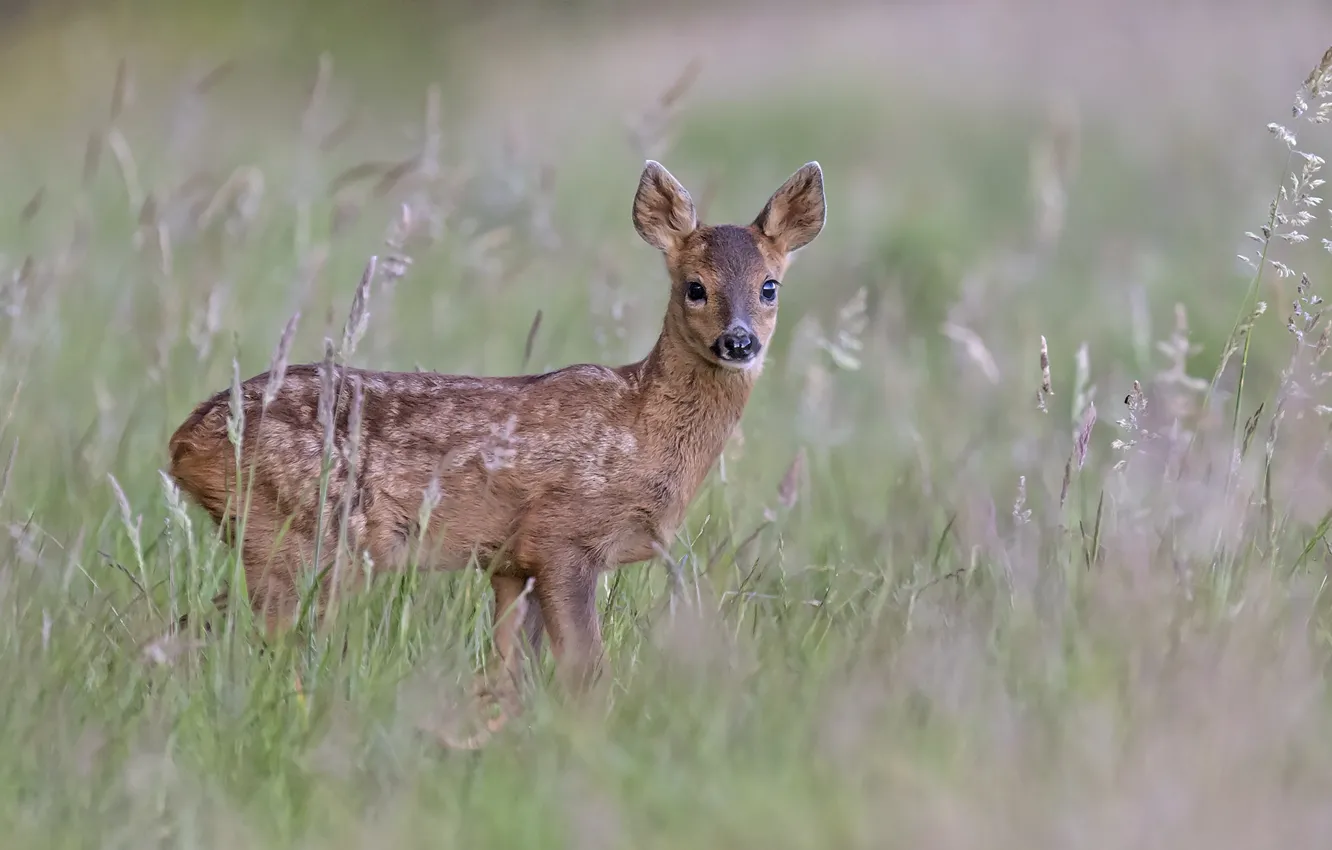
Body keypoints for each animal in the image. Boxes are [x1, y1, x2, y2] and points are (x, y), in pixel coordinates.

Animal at [166, 159, 826, 739]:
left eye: (769, 287)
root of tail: (183, 441)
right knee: (262, 641)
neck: (641, 428)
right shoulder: (563, 539)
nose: (738, 341)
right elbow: (586, 673)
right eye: (695, 287)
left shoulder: (512, 563)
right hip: (304, 538)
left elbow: (505, 675)